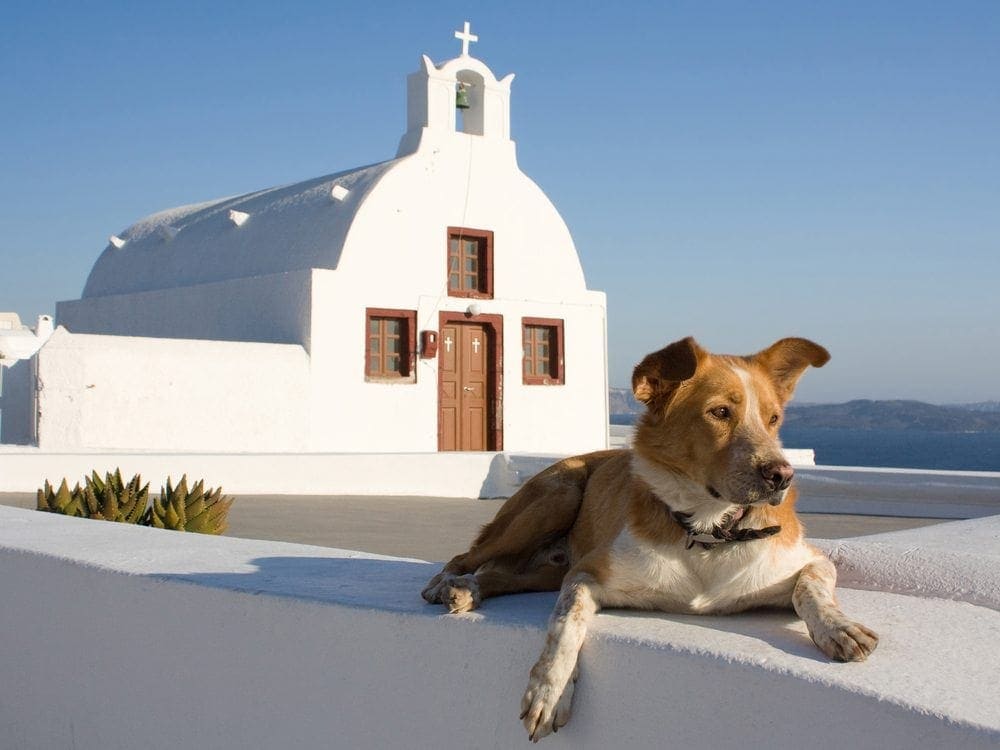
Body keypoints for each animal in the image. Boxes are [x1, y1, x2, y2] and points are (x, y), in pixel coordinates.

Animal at [420, 338, 876, 744]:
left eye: (773, 419)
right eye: (720, 412)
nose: (781, 476)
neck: (706, 531)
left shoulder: (810, 559)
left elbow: (811, 588)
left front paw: (839, 628)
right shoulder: (586, 573)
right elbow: (565, 623)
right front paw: (549, 692)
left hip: (549, 567)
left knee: (501, 576)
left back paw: (467, 590)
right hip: (557, 495)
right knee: (468, 555)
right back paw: (447, 584)